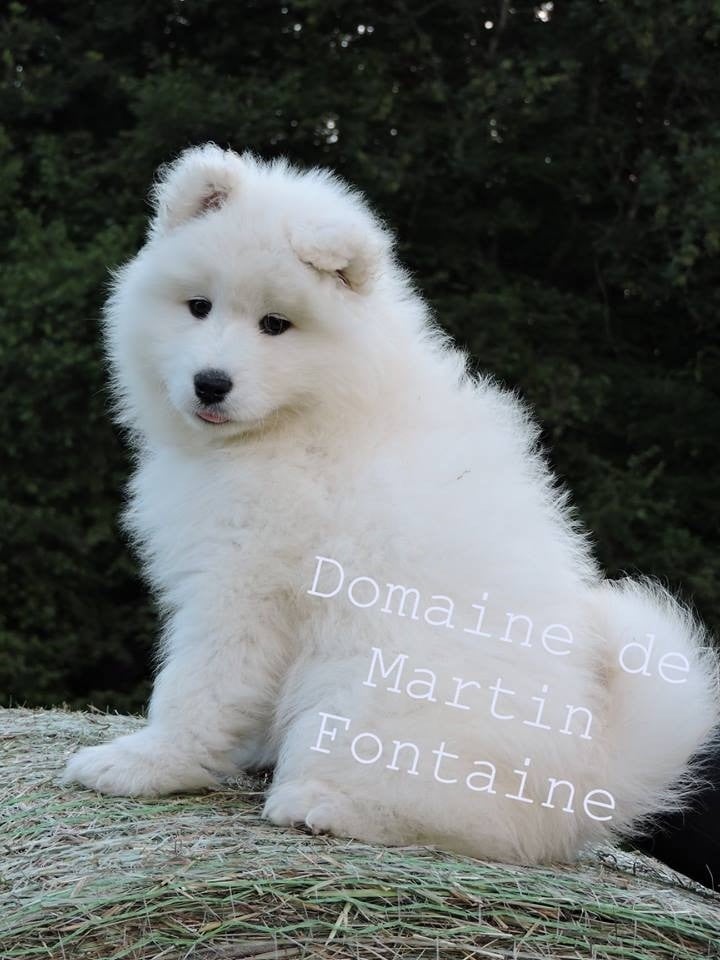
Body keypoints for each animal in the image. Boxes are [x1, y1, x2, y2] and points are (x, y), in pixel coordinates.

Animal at [64, 144, 720, 864]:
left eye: (275, 325)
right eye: (198, 306)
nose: (211, 383)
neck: (303, 416)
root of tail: (582, 789)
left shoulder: (241, 584)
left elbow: (196, 687)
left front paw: (143, 763)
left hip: (374, 695)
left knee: (467, 819)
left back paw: (323, 803)